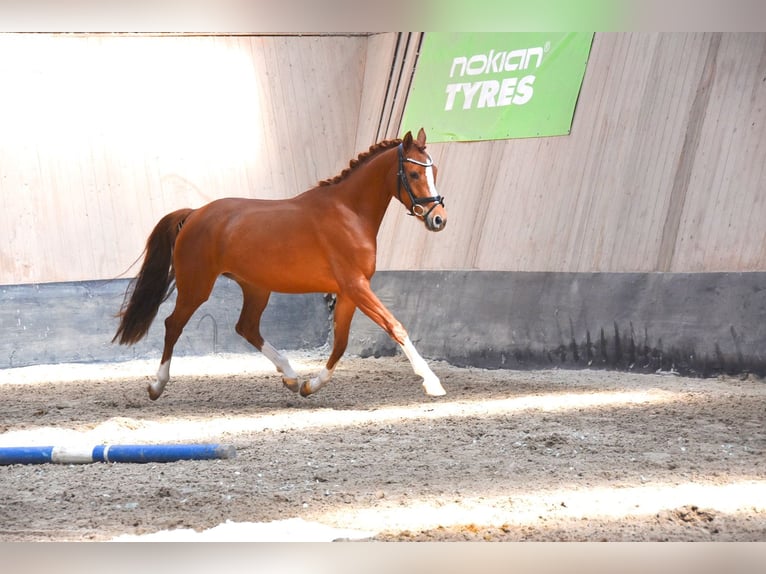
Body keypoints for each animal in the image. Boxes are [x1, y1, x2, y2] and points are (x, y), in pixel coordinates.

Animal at [115, 129, 450, 400]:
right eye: (415, 174)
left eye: (434, 170)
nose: (439, 219)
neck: (349, 213)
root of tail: (195, 213)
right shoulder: (356, 286)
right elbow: (395, 327)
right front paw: (432, 383)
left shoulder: (349, 292)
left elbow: (340, 343)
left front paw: (310, 386)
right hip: (196, 286)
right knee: (173, 325)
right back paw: (157, 385)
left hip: (256, 288)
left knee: (246, 327)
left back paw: (290, 376)